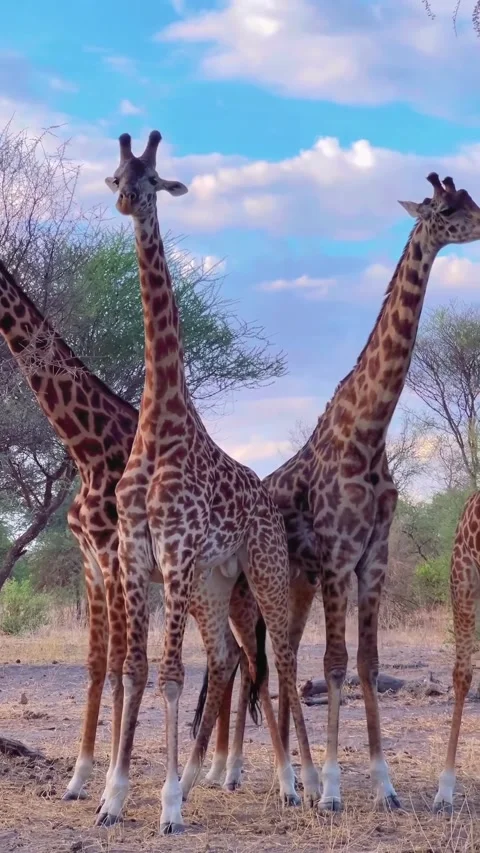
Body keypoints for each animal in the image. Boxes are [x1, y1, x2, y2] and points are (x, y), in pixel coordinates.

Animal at [0, 257, 260, 802]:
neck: (86, 448)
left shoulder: (114, 554)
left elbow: (122, 666)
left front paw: (108, 781)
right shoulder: (91, 562)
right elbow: (100, 665)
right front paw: (80, 778)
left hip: (235, 588)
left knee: (247, 658)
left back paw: (231, 771)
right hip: (208, 589)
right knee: (229, 659)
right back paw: (212, 770)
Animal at [202, 173, 480, 811]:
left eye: (472, 200)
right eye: (446, 209)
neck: (368, 433)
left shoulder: (372, 557)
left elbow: (368, 664)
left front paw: (384, 785)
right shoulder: (336, 557)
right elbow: (333, 665)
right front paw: (331, 788)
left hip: (294, 585)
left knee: (275, 662)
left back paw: (282, 776)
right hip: (248, 590)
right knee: (250, 663)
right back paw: (235, 773)